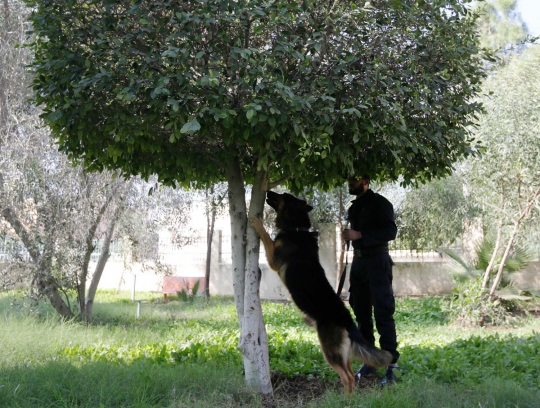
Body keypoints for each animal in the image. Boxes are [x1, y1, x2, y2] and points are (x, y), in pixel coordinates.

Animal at [249, 193, 392, 394]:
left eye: (283, 195)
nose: (268, 192)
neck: (296, 228)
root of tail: (347, 320)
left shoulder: (274, 259)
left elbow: (266, 237)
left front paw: (257, 222)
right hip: (343, 352)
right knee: (351, 375)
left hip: (329, 350)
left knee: (347, 377)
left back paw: (344, 399)